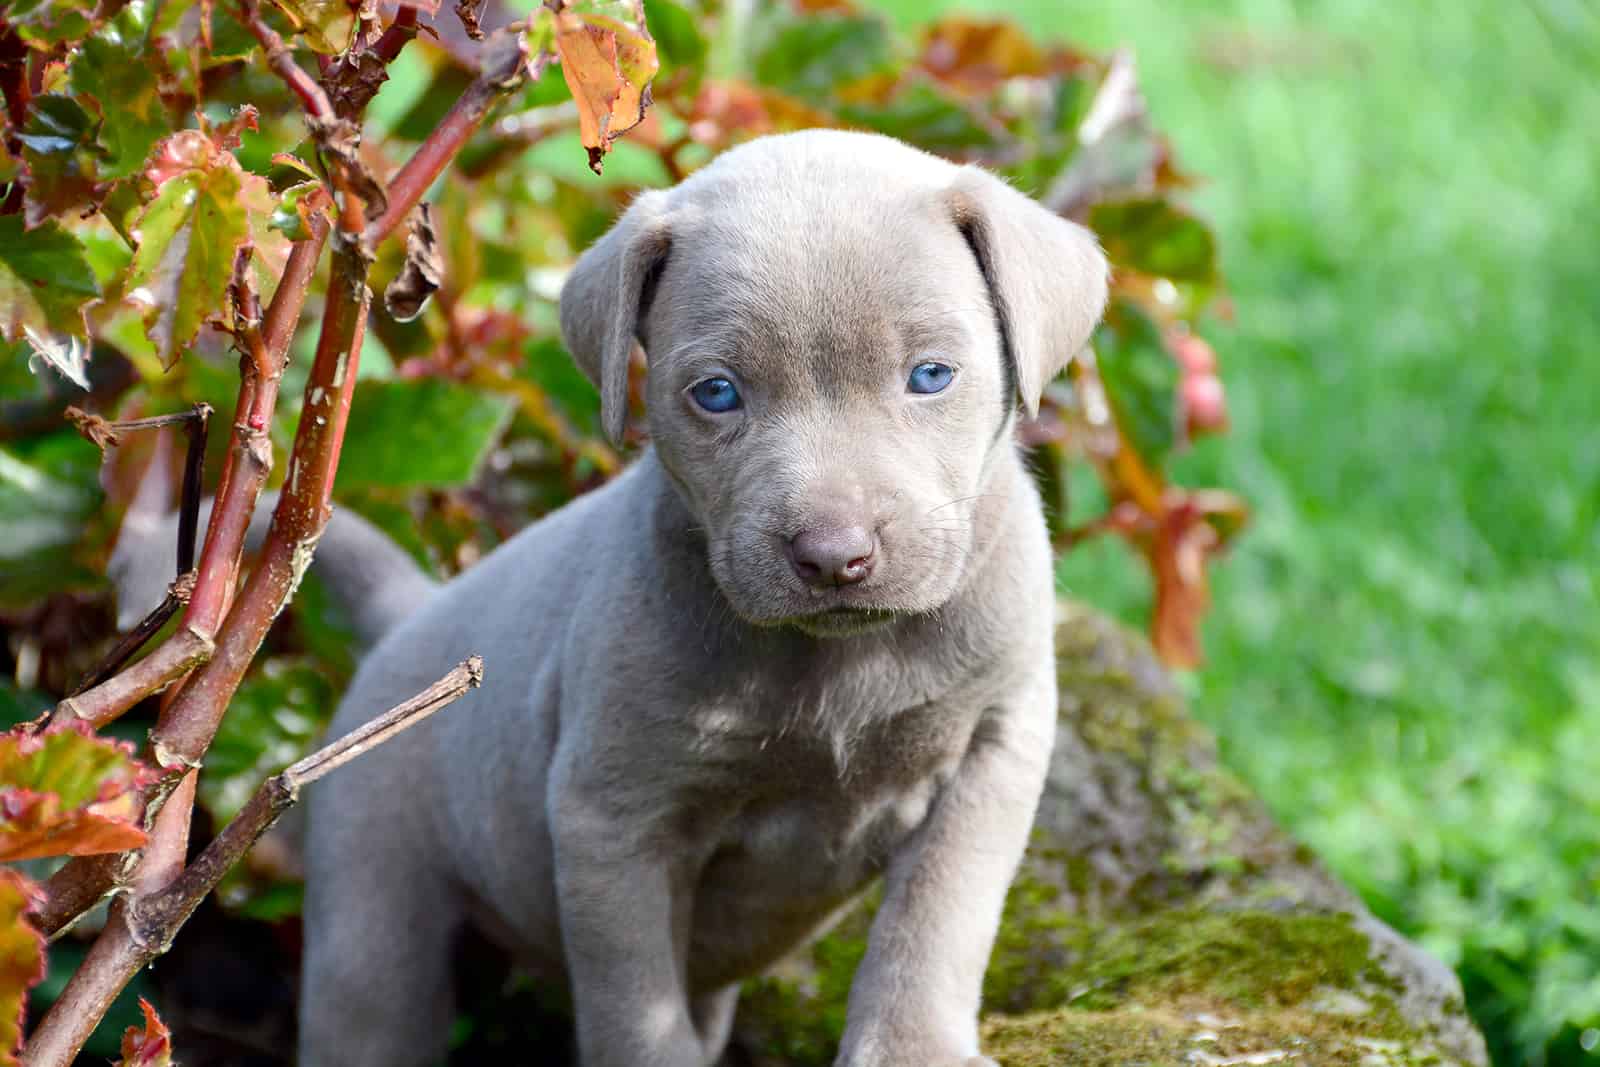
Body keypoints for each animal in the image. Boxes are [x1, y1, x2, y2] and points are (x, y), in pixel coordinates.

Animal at [124, 129, 1107, 1062]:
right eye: (717, 393)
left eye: (932, 375)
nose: (834, 556)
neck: (837, 658)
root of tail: (413, 610)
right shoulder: (613, 821)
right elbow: (637, 1010)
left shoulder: (995, 750)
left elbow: (935, 924)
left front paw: (912, 1048)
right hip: (375, 915)